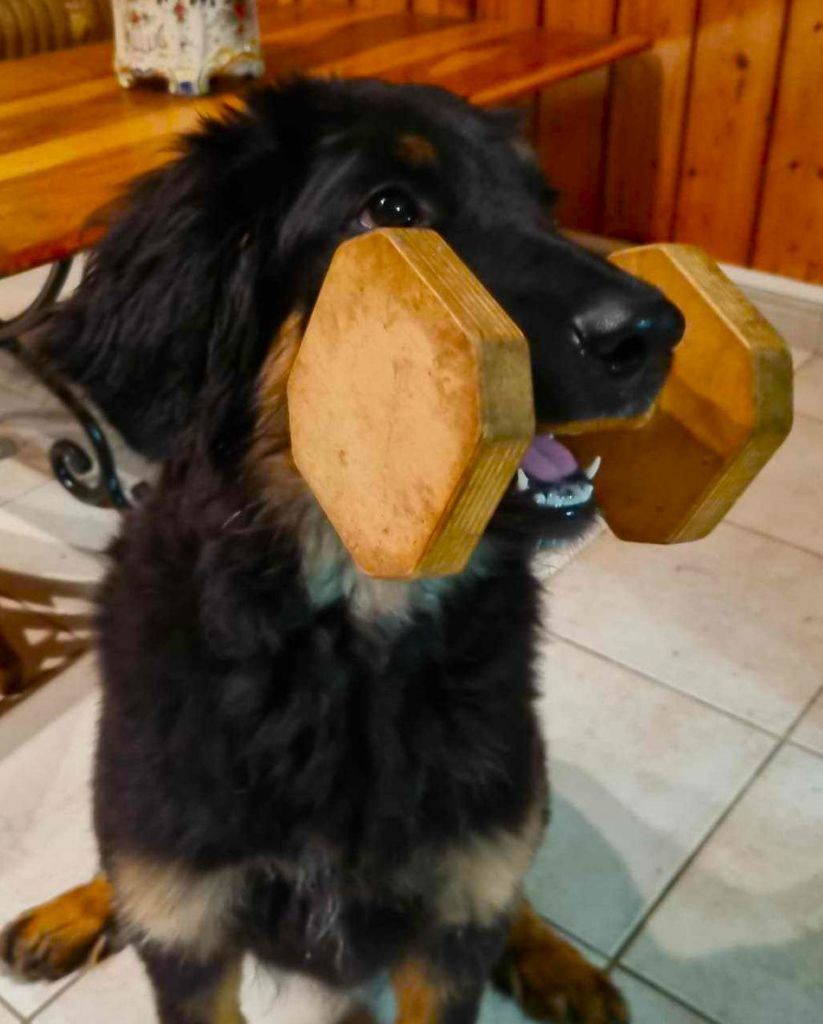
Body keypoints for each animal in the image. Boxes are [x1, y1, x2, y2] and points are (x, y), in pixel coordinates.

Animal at [0, 79, 682, 1023]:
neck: (340, 645)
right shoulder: (188, 938)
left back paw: (552, 959)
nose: (657, 333)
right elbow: (159, 898)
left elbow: (482, 901)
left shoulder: (451, 926)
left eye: (543, 203)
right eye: (389, 211)